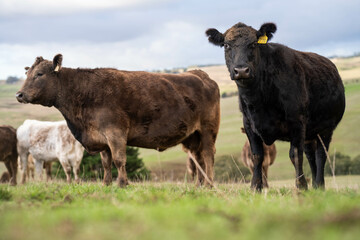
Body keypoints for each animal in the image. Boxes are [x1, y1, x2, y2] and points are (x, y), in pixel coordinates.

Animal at [16, 54, 219, 188]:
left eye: (40, 74)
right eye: (27, 74)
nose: (19, 94)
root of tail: (199, 74)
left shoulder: (115, 133)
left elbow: (119, 160)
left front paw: (122, 183)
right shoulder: (101, 137)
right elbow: (106, 163)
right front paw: (106, 184)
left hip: (208, 130)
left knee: (208, 156)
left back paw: (209, 184)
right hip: (192, 136)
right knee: (198, 159)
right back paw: (199, 185)